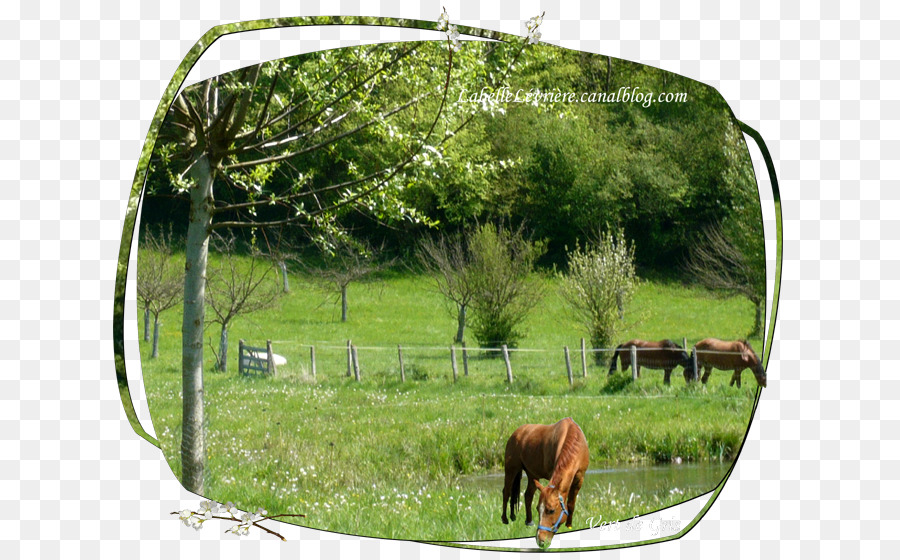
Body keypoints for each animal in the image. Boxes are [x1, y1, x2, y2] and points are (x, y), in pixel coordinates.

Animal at [500, 418, 592, 548]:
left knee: (528, 495)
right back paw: (505, 519)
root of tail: (516, 433)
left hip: (532, 475)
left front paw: (569, 526)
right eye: (538, 509)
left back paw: (529, 522)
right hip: (511, 470)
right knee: (506, 493)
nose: (540, 540)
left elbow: (571, 504)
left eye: (551, 510)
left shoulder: (579, 478)